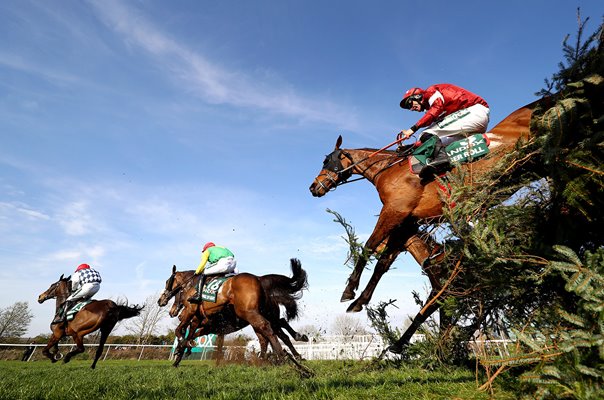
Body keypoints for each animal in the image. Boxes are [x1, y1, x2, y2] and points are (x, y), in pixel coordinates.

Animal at [158, 258, 310, 368]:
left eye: (167, 282)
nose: (161, 301)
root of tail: (259, 279)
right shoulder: (209, 327)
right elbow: (192, 336)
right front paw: (181, 353)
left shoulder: (194, 316)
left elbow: (182, 332)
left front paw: (180, 352)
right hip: (264, 315)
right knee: (273, 332)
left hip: (252, 314)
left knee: (270, 331)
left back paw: (284, 356)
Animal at [310, 101, 536, 354]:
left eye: (326, 160)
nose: (313, 187)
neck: (389, 169)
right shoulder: (407, 221)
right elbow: (383, 264)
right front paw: (360, 301)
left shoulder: (395, 211)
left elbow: (369, 247)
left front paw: (349, 290)